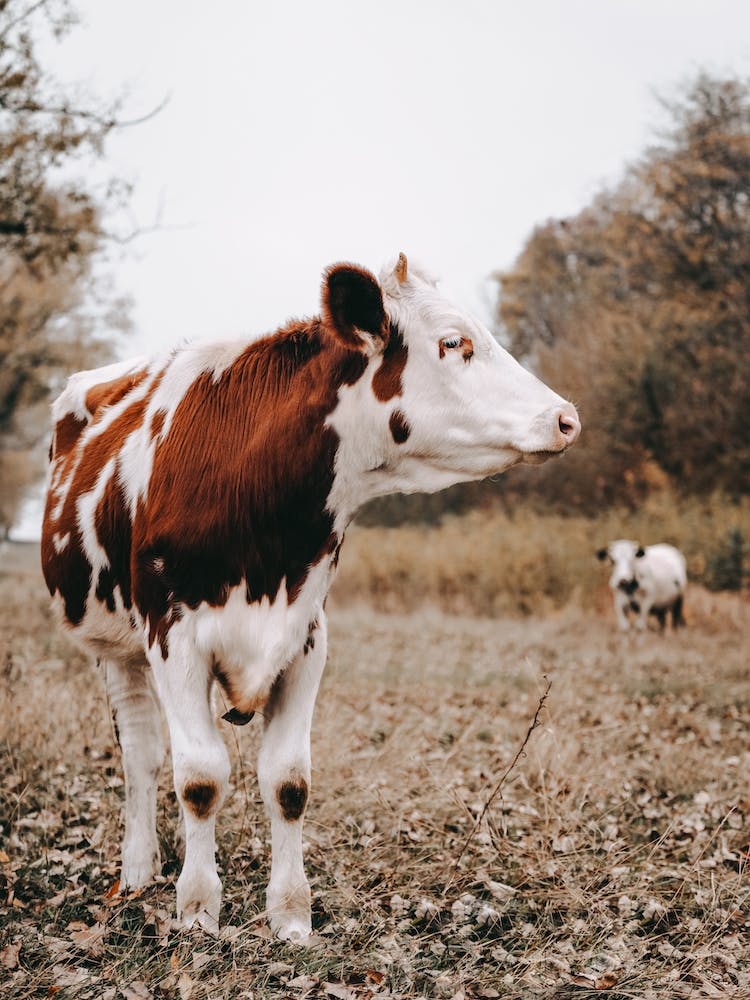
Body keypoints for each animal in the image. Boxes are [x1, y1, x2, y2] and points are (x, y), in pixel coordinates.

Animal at [41, 254, 580, 942]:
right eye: (453, 343)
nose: (566, 418)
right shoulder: (173, 635)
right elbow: (199, 778)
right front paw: (197, 911)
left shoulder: (305, 637)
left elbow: (288, 781)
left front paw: (291, 915)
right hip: (114, 645)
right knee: (140, 753)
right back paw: (137, 871)